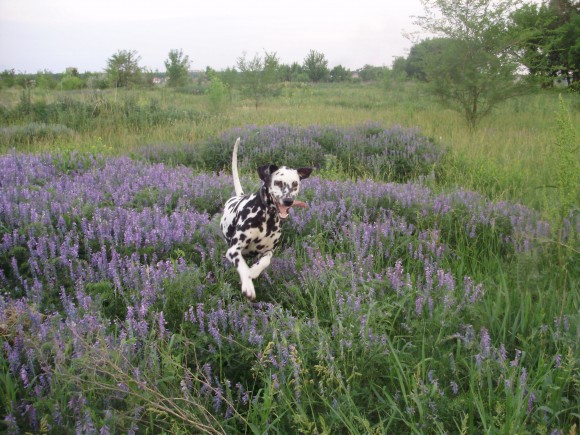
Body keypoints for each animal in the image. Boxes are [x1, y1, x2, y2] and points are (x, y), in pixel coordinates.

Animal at [220, 139, 312, 300]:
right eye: (278, 182)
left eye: (295, 184)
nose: (288, 201)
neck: (266, 219)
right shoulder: (233, 250)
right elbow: (241, 265)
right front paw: (248, 285)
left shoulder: (268, 251)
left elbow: (265, 261)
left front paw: (253, 272)